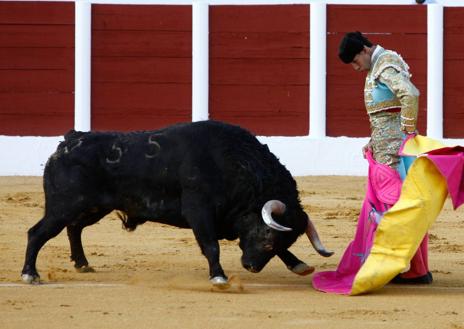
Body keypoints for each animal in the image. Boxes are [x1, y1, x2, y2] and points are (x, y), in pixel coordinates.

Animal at [21, 120, 332, 284]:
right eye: (267, 238)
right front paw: (218, 277)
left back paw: (83, 264)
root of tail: (67, 142)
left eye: (281, 241)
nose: (250, 267)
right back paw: (30, 274)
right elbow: (211, 246)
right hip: (63, 206)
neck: (233, 165)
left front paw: (300, 265)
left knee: (74, 228)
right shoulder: (198, 211)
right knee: (37, 233)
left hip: (94, 207)